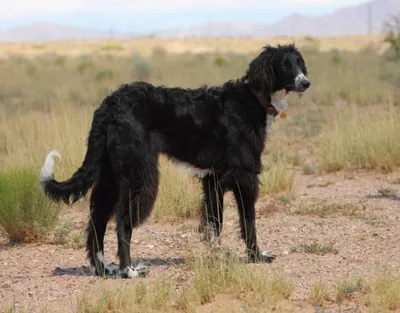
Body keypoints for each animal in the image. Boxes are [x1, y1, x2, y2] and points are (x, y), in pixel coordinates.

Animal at [39, 42, 310, 276]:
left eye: (299, 62)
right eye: (285, 65)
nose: (306, 82)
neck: (252, 98)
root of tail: (110, 104)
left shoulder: (213, 179)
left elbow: (216, 224)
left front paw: (217, 257)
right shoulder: (245, 176)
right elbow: (249, 221)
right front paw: (256, 256)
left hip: (110, 175)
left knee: (97, 222)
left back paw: (104, 269)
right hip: (140, 175)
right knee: (122, 222)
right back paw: (129, 271)